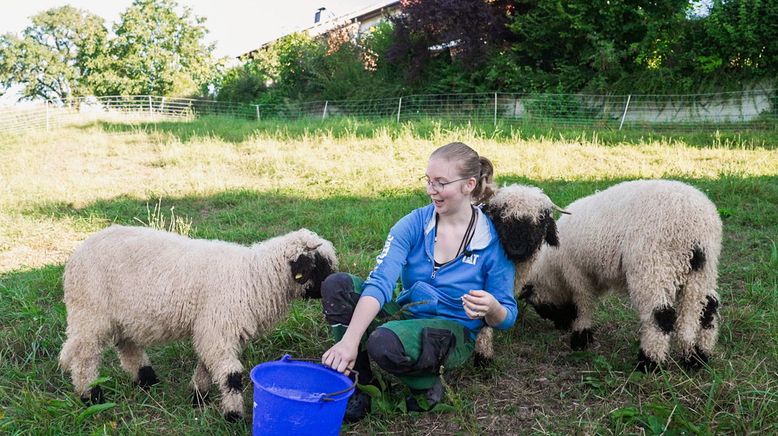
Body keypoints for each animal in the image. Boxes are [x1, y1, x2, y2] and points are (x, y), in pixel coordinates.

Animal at [59, 223, 338, 420]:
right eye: (319, 267)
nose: (330, 287)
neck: (254, 276)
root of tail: (78, 252)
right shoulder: (217, 327)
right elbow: (231, 376)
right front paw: (233, 415)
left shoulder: (212, 330)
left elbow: (206, 365)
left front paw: (198, 397)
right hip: (90, 311)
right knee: (84, 356)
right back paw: (90, 396)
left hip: (121, 314)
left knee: (127, 347)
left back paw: (147, 379)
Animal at [516, 180, 720, 372]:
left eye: (539, 306)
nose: (561, 325)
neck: (554, 267)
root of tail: (694, 229)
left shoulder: (576, 272)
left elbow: (584, 303)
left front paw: (581, 337)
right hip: (703, 272)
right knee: (708, 309)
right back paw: (697, 357)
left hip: (653, 266)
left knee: (660, 316)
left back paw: (649, 363)